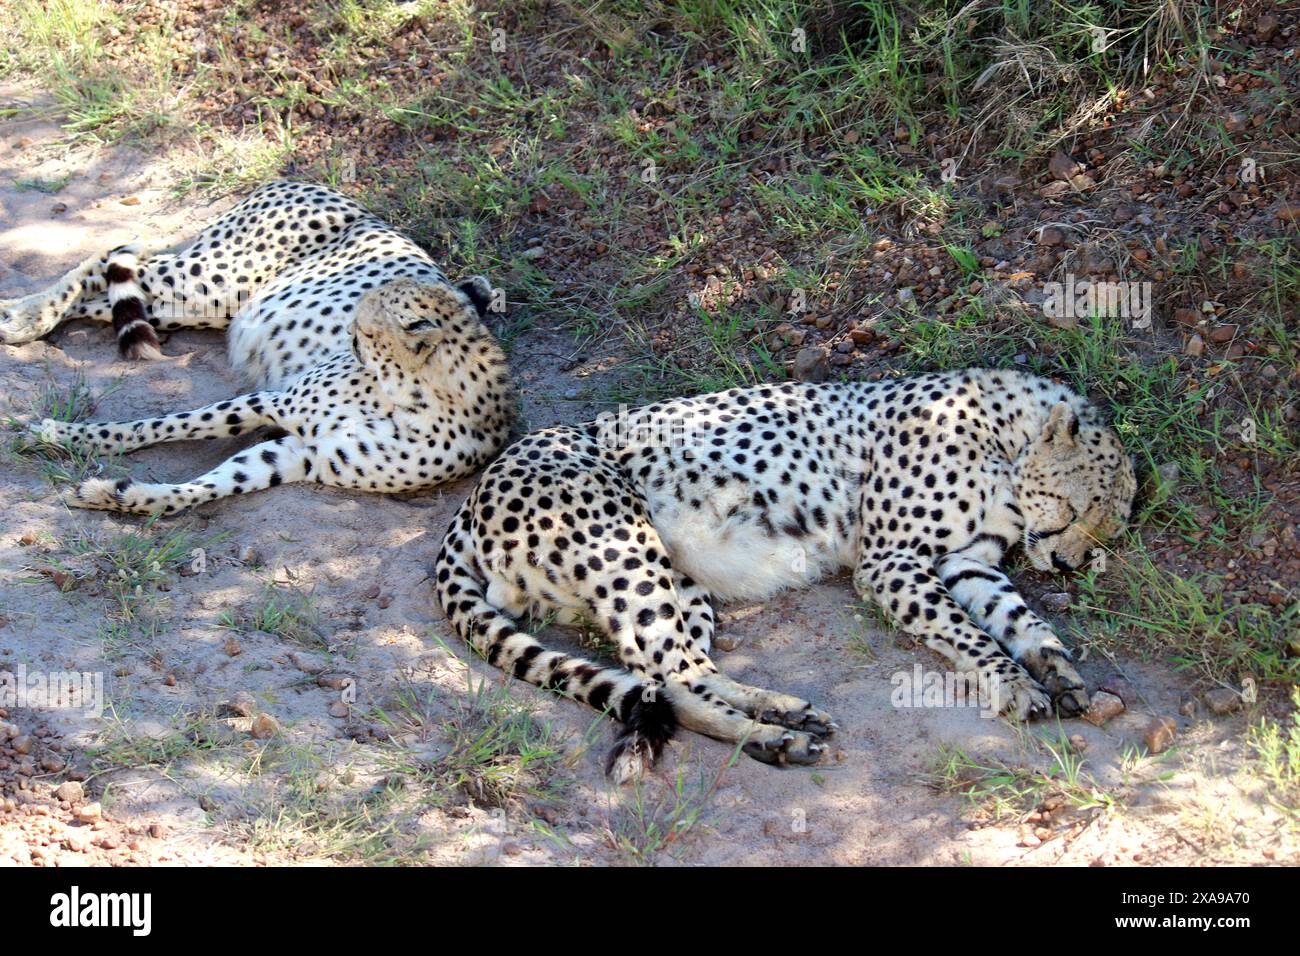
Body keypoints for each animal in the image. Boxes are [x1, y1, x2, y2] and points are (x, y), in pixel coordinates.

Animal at [0, 181, 515, 514]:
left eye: (368, 322)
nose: (350, 330)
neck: (409, 399)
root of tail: (306, 181)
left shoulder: (302, 456)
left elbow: (210, 486)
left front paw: (125, 496)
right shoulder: (272, 400)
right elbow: (159, 424)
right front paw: (61, 435)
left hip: (197, 304)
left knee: (112, 296)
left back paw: (19, 314)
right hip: (213, 277)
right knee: (109, 258)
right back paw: (25, 318)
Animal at [433, 368, 1136, 782]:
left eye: (1105, 531)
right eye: (1077, 510)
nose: (1067, 562)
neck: (1003, 435)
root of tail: (477, 491)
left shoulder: (966, 562)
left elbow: (1018, 618)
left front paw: (1059, 670)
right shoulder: (892, 562)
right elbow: (968, 634)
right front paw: (1013, 683)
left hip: (676, 582)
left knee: (668, 674)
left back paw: (777, 724)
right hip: (624, 549)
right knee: (673, 672)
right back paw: (779, 731)